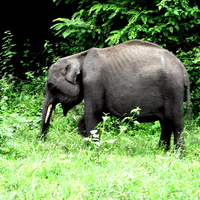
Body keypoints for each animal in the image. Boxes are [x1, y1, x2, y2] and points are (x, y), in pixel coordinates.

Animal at [39, 39, 191, 151]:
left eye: (50, 85)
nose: (40, 142)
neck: (79, 57)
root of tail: (183, 70)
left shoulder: (93, 84)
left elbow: (92, 115)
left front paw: (94, 150)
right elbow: (91, 118)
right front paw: (88, 144)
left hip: (173, 90)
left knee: (176, 123)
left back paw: (178, 154)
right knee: (165, 123)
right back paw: (162, 151)